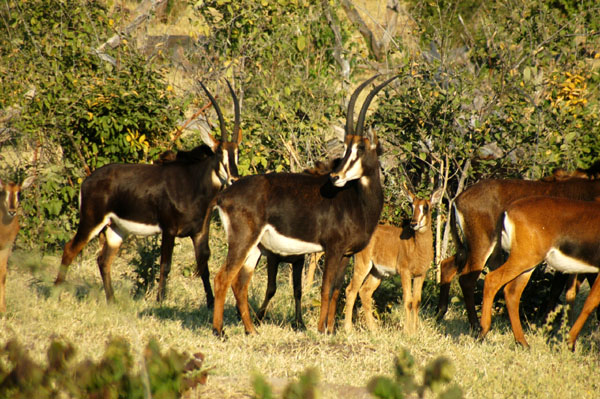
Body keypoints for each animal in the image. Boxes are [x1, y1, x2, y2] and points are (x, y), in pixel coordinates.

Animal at [0, 177, 34, 312]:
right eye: (4, 191)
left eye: (19, 192)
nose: (12, 212)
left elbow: (3, 274)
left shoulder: (6, 248)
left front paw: (3, 309)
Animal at [54, 80, 241, 306]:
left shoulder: (199, 232)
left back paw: (112, 300)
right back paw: (55, 293)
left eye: (237, 152)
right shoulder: (169, 230)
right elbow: (165, 266)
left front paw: (211, 303)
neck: (194, 185)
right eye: (220, 153)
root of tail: (88, 180)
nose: (234, 179)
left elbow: (203, 267)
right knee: (70, 249)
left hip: (116, 229)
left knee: (103, 260)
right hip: (91, 222)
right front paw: (160, 302)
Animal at [207, 73, 398, 336]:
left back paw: (251, 331)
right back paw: (219, 331)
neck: (357, 200)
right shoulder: (332, 249)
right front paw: (320, 329)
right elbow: (326, 288)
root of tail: (225, 195)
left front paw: (331, 330)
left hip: (255, 248)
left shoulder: (346, 254)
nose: (335, 177)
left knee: (240, 283)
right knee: (222, 278)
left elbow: (337, 290)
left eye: (359, 148)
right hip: (243, 241)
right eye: (346, 148)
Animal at [340, 188, 442, 334]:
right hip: (363, 265)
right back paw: (348, 329)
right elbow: (408, 300)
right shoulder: (405, 272)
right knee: (351, 290)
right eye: (412, 206)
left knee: (365, 292)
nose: (414, 224)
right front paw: (407, 332)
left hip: (377, 273)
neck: (417, 246)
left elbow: (416, 301)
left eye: (426, 207)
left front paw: (415, 331)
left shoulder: (420, 274)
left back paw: (374, 329)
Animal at [478, 197, 600, 350]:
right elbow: (591, 301)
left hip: (527, 266)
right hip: (524, 259)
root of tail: (509, 211)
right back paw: (483, 332)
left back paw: (523, 343)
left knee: (512, 292)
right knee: (491, 279)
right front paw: (569, 344)